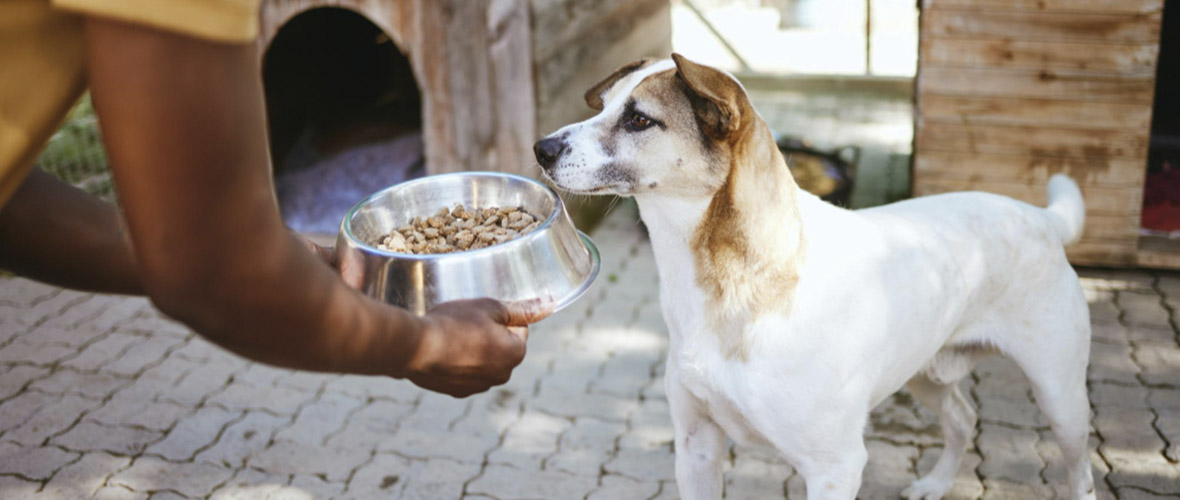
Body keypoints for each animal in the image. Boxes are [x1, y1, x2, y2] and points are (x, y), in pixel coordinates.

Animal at [535, 54, 1095, 499]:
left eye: (638, 119)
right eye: (603, 106)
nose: (542, 148)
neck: (734, 283)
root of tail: (1040, 216)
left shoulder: (835, 467)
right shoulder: (696, 446)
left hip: (1060, 395)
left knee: (1080, 467)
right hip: (924, 370)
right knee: (963, 418)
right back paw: (936, 484)